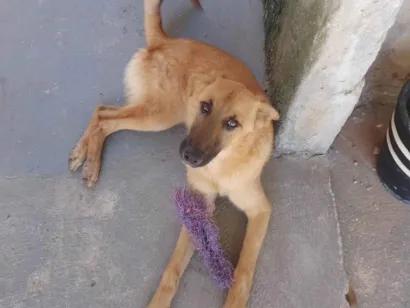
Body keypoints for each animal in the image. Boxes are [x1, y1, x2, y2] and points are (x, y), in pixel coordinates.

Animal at [69, 0, 280, 306]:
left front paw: (234, 299)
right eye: (204, 106)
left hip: (156, 113)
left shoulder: (260, 210)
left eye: (232, 123)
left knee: (103, 112)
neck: (221, 165)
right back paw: (89, 161)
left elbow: (244, 269)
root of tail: (165, 41)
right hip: (161, 115)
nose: (189, 156)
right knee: (105, 117)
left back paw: (84, 153)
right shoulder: (197, 205)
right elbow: (173, 269)